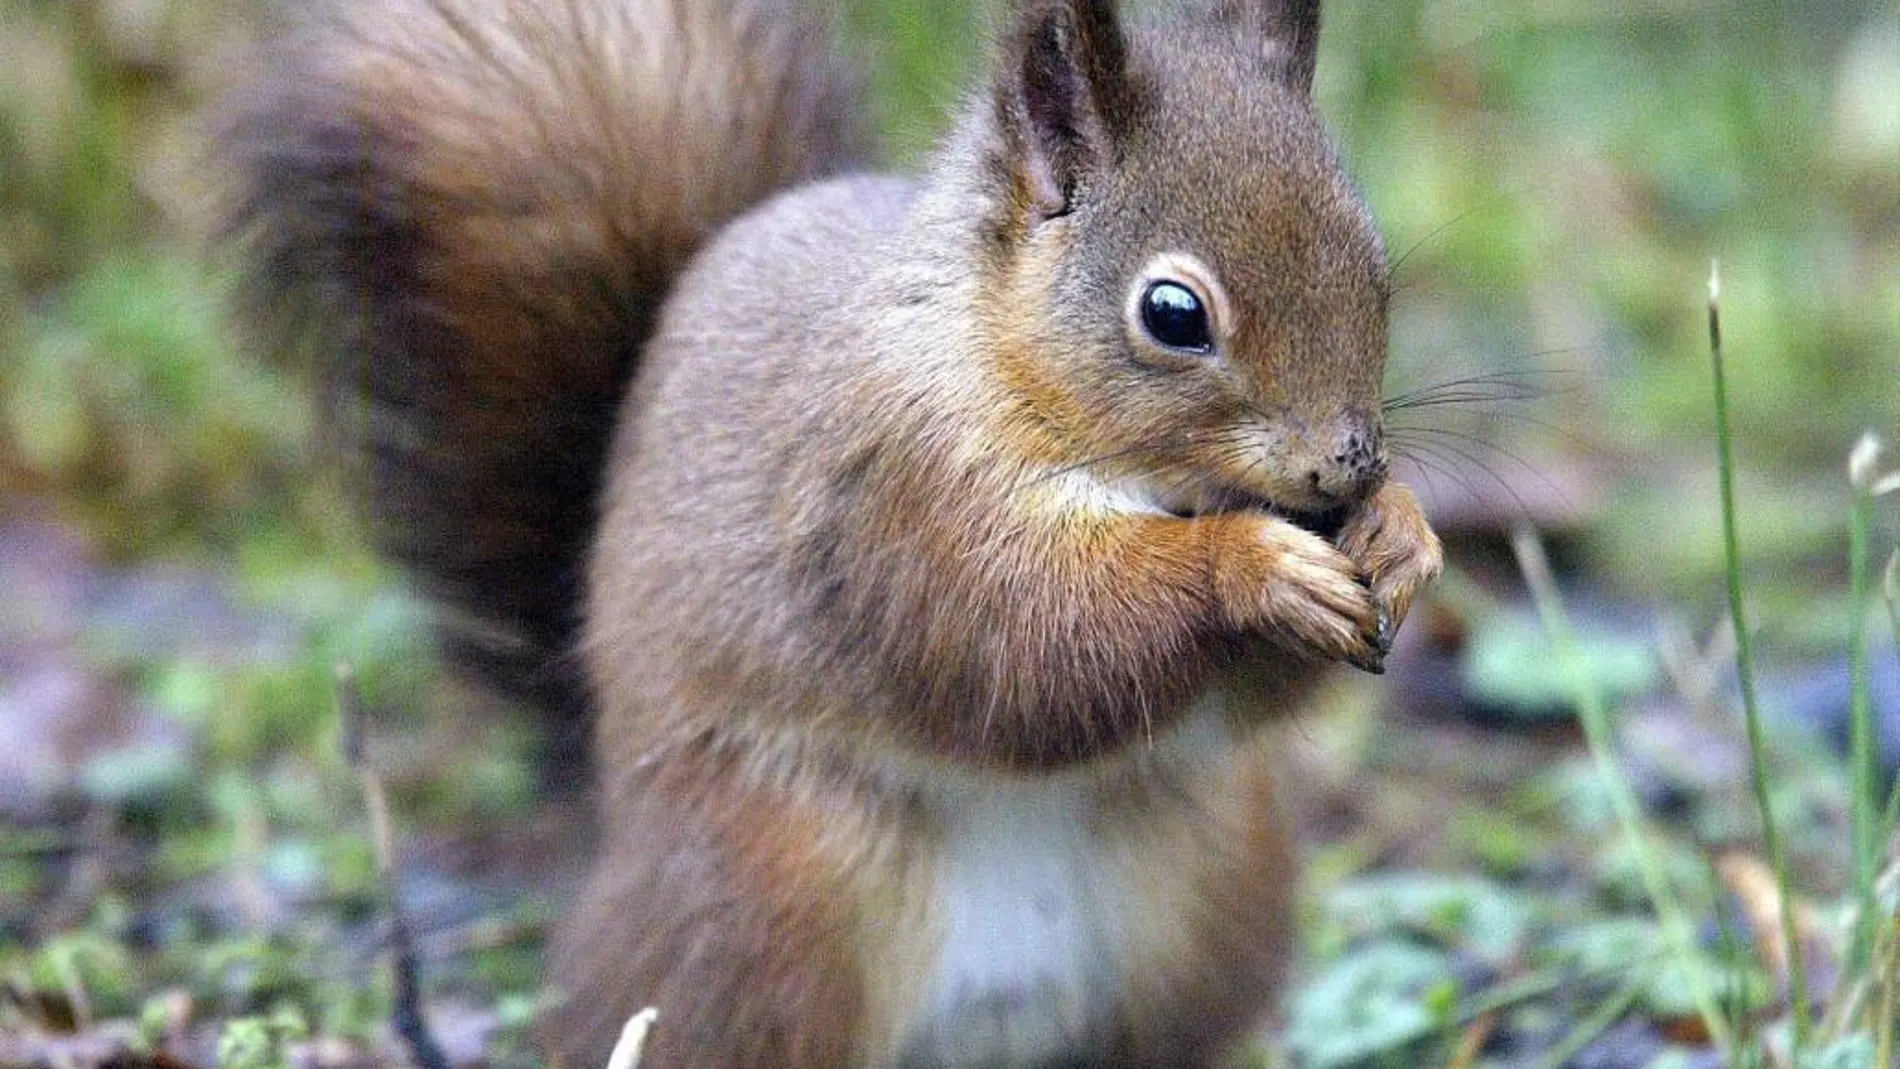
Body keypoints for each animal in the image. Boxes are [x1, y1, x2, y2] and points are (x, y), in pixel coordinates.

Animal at [222, 2, 1436, 1069]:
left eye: (1377, 266)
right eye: (1173, 314)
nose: (1346, 463)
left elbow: (1246, 699)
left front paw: (1401, 536)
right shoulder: (891, 495)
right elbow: (1025, 646)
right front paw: (1256, 566)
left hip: (1206, 890)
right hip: (772, 910)